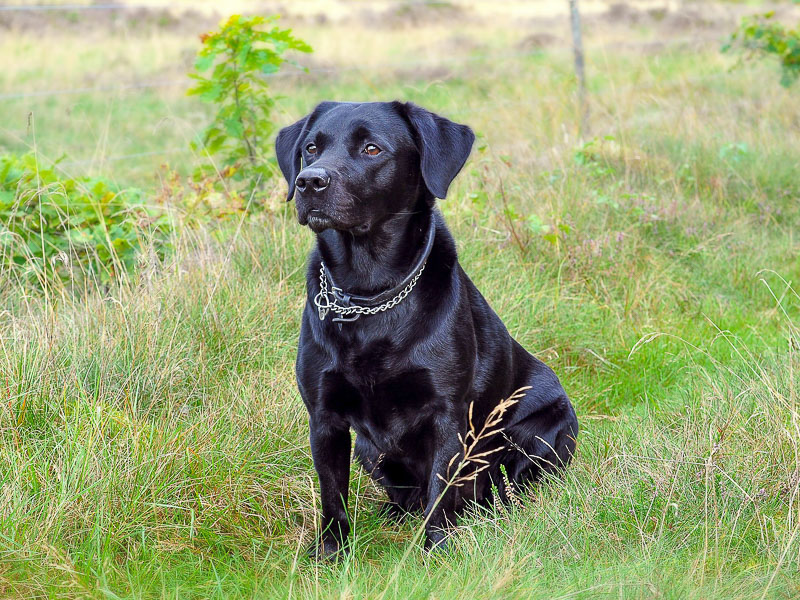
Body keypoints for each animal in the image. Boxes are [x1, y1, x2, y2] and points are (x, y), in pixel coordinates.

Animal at [276, 101, 576, 556]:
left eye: (371, 148)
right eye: (311, 148)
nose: (310, 181)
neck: (369, 295)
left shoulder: (446, 414)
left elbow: (440, 491)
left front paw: (437, 550)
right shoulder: (324, 417)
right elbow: (332, 494)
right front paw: (331, 552)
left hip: (545, 430)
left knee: (503, 487)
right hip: (369, 449)